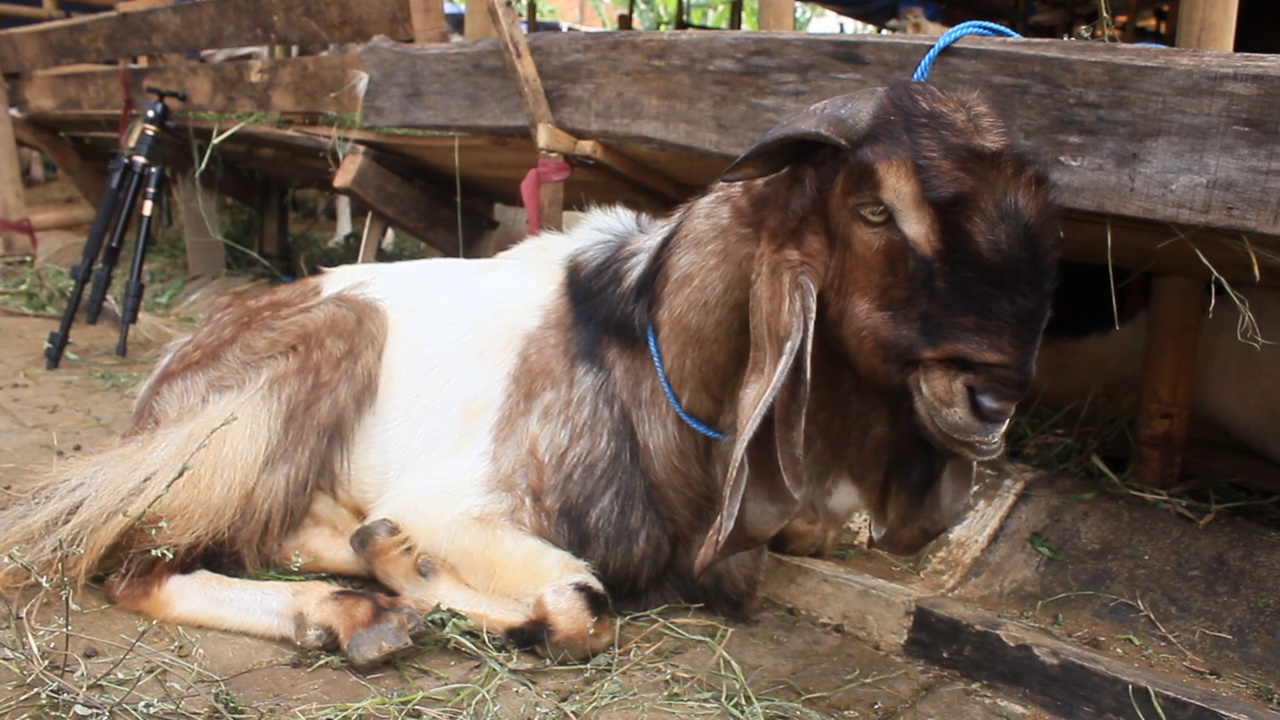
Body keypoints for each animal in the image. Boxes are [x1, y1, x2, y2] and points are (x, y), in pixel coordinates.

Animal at [0, 82, 1059, 666]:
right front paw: (419, 571)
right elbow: (582, 606)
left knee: (278, 527)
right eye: (875, 210)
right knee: (136, 562)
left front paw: (395, 562)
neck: (650, 354)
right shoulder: (464, 504)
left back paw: (358, 583)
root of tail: (163, 385)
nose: (994, 398)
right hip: (307, 365)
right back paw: (355, 606)